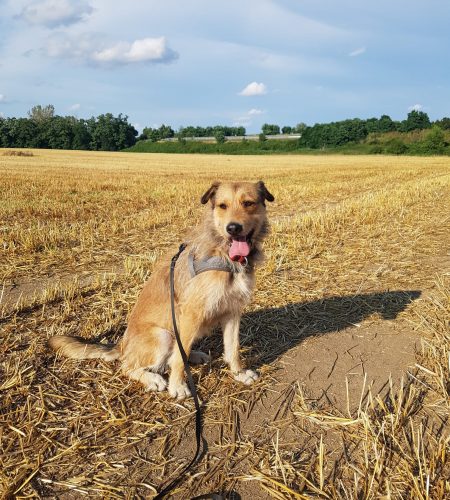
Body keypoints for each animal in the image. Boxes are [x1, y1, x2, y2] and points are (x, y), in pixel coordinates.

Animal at [49, 180, 274, 398]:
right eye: (222, 206)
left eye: (248, 203)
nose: (233, 228)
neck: (225, 255)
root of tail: (122, 344)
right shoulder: (191, 313)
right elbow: (179, 359)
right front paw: (177, 387)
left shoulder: (232, 311)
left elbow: (233, 348)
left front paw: (239, 373)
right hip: (164, 335)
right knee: (130, 366)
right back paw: (153, 379)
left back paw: (195, 356)